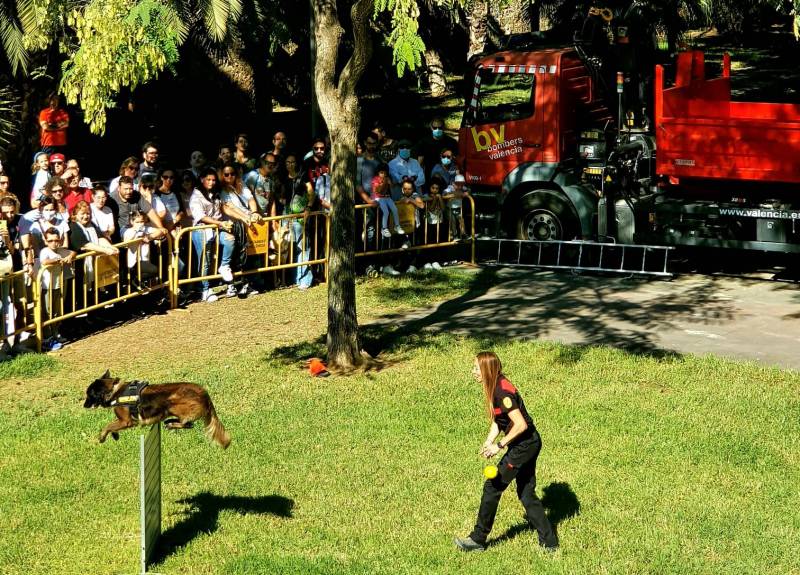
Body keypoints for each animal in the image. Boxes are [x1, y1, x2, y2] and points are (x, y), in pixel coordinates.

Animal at [83, 368, 231, 450]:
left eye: (88, 395)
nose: (84, 405)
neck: (113, 391)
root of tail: (205, 394)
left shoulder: (126, 421)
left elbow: (107, 426)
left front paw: (102, 437)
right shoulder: (122, 420)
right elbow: (112, 426)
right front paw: (115, 435)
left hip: (172, 404)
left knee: (188, 423)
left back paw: (171, 423)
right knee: (188, 424)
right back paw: (170, 423)